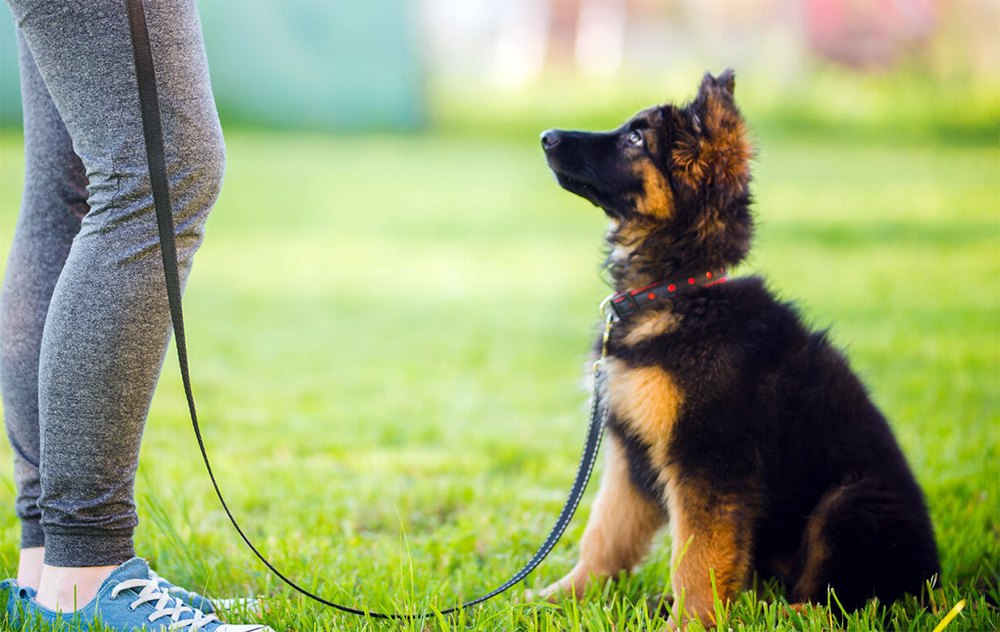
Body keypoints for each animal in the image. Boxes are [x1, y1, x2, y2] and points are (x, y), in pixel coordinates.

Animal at [536, 71, 940, 624]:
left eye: (636, 139)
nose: (546, 136)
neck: (678, 291)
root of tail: (934, 584)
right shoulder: (628, 451)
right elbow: (604, 532)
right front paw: (564, 594)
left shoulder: (709, 459)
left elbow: (696, 559)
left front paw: (688, 625)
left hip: (850, 503)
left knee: (836, 602)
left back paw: (778, 615)